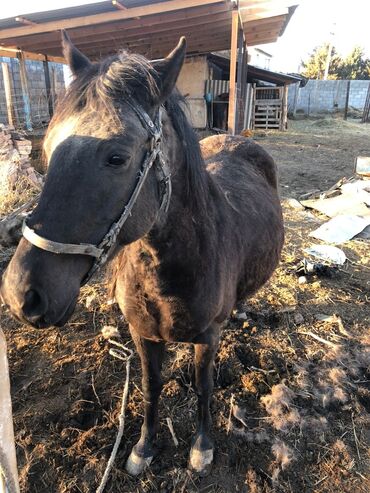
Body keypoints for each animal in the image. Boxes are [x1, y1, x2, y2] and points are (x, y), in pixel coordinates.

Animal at [0, 32, 284, 474]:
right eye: (46, 147)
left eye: (116, 157)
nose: (20, 295)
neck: (167, 273)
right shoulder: (142, 334)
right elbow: (151, 388)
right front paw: (144, 447)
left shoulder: (208, 337)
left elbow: (204, 387)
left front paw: (202, 446)